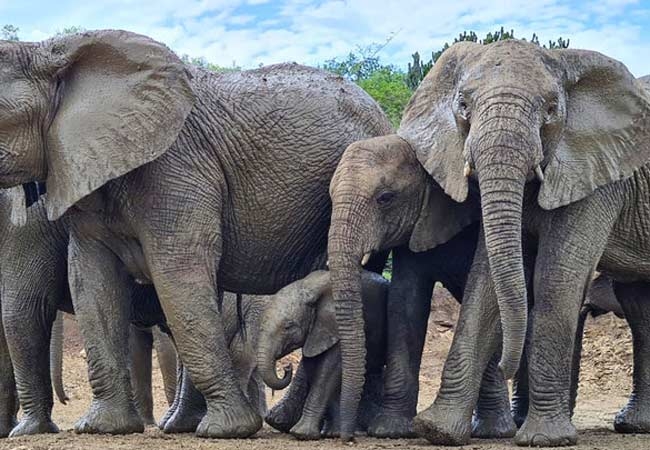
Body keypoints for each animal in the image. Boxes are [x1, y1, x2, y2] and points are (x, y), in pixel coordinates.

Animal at [254, 270, 388, 440]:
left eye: (288, 327)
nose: (287, 367)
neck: (308, 287)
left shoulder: (335, 327)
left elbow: (329, 370)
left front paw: (302, 433)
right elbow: (315, 367)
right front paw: (333, 433)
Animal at [398, 39, 648, 446]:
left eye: (550, 110)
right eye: (463, 105)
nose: (504, 364)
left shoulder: (599, 173)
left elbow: (556, 277)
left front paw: (544, 439)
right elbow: (483, 282)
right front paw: (437, 430)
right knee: (640, 303)